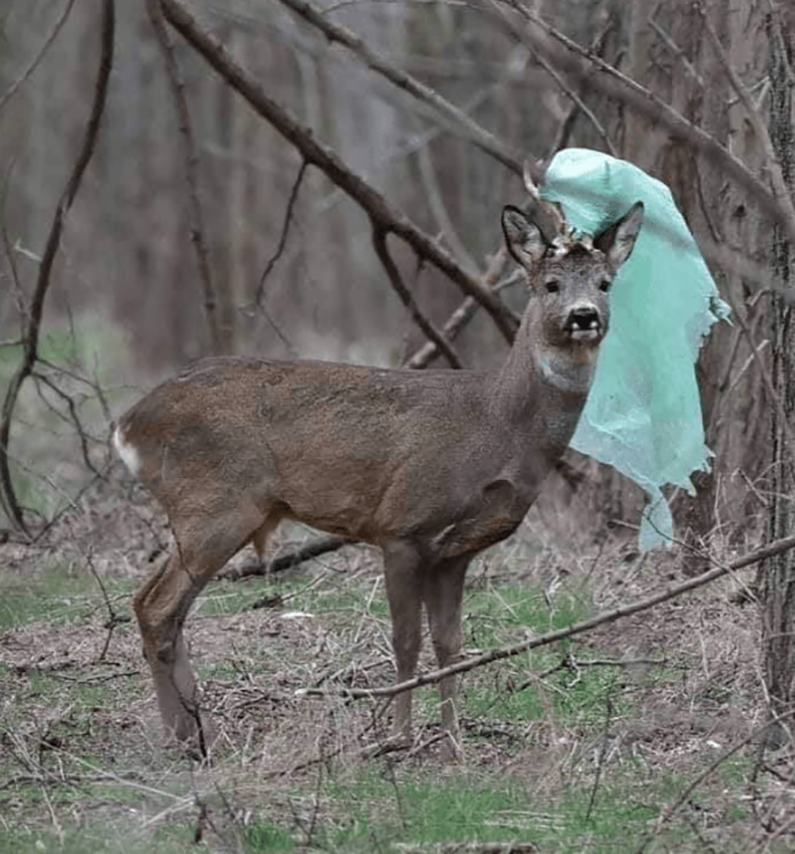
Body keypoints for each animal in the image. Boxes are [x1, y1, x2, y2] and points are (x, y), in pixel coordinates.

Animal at [115, 177, 644, 760]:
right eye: (551, 285)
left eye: (605, 283)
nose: (584, 315)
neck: (498, 426)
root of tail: (129, 423)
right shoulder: (403, 525)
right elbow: (405, 639)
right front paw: (397, 738)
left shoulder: (454, 552)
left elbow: (450, 643)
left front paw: (454, 743)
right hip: (215, 504)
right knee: (159, 606)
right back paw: (186, 739)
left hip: (204, 512)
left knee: (154, 604)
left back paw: (196, 735)